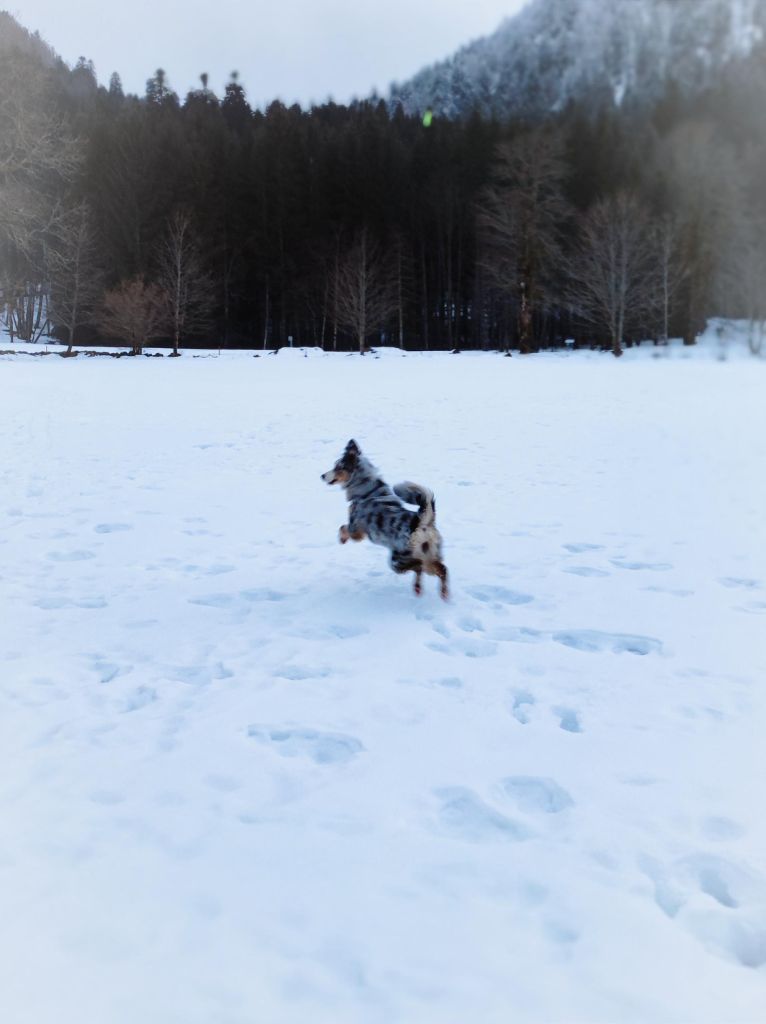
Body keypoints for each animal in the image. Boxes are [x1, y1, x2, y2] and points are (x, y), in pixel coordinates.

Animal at [321, 440, 448, 598]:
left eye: (338, 467)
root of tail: (422, 522)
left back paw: (420, 587)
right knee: (441, 569)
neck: (367, 490)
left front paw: (341, 539)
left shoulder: (356, 529)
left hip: (398, 560)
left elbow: (343, 527)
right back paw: (441, 593)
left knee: (420, 566)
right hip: (430, 553)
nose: (322, 475)